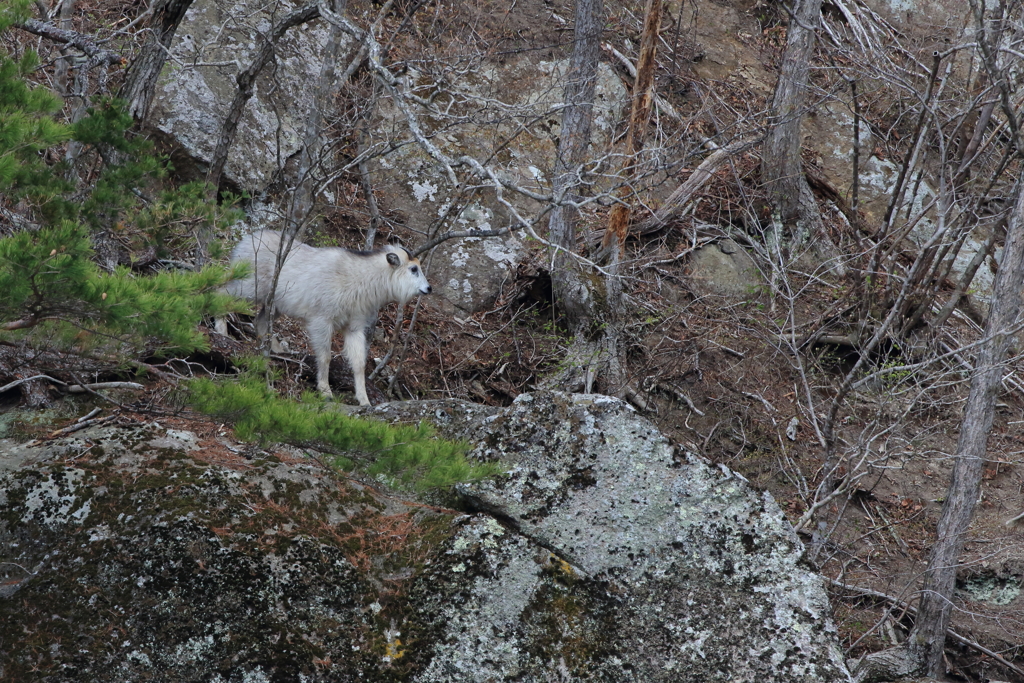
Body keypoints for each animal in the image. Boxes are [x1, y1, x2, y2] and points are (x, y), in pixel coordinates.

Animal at [218, 229, 434, 405]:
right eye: (413, 269)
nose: (428, 288)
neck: (363, 280)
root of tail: (245, 242)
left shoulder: (354, 327)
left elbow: (359, 364)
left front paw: (364, 400)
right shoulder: (322, 320)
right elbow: (325, 356)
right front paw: (325, 391)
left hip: (274, 303)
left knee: (260, 322)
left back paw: (274, 350)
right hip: (248, 286)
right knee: (221, 293)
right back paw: (221, 332)